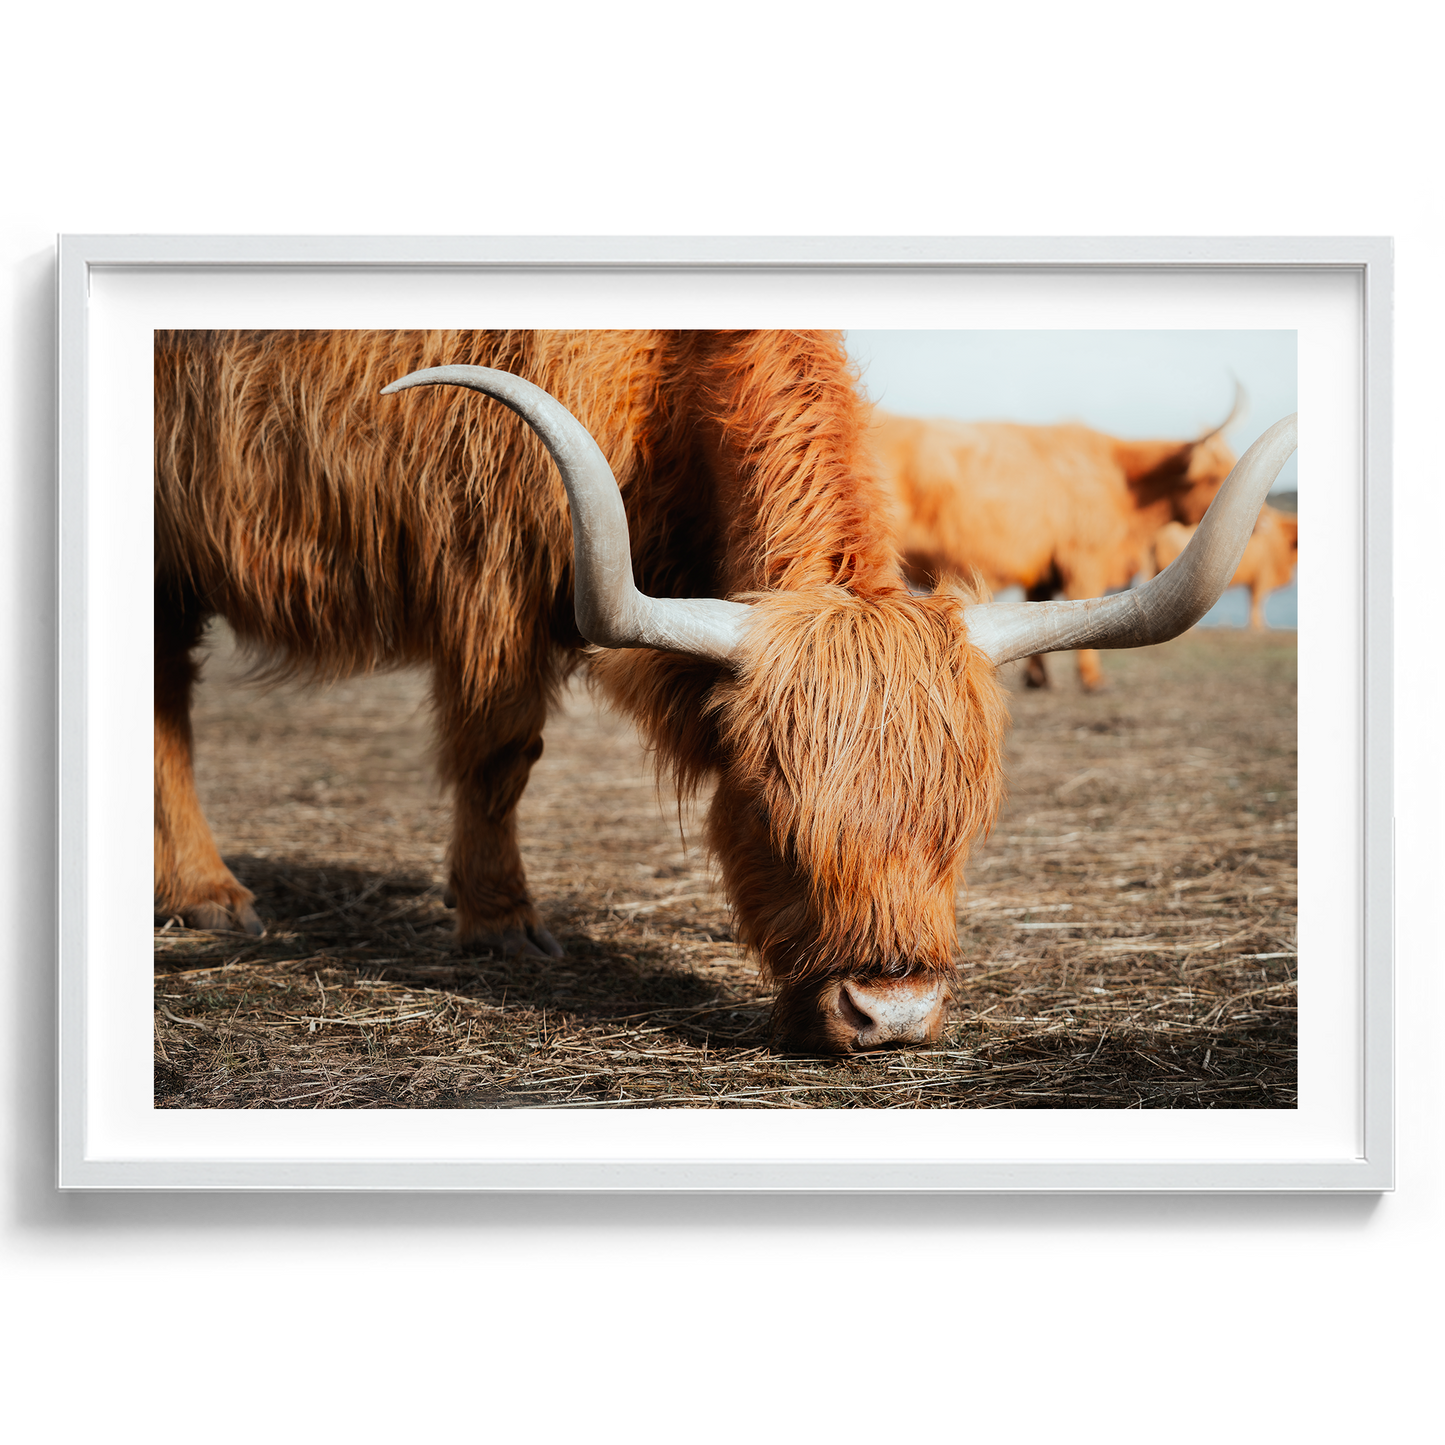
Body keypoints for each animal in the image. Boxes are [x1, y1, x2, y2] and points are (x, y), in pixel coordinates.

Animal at [869, 397, 1245, 690]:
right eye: (1215, 475)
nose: (1255, 524)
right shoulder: (1084, 558)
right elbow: (1082, 603)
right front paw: (1092, 680)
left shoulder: (1043, 567)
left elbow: (1039, 606)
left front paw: (1038, 679)